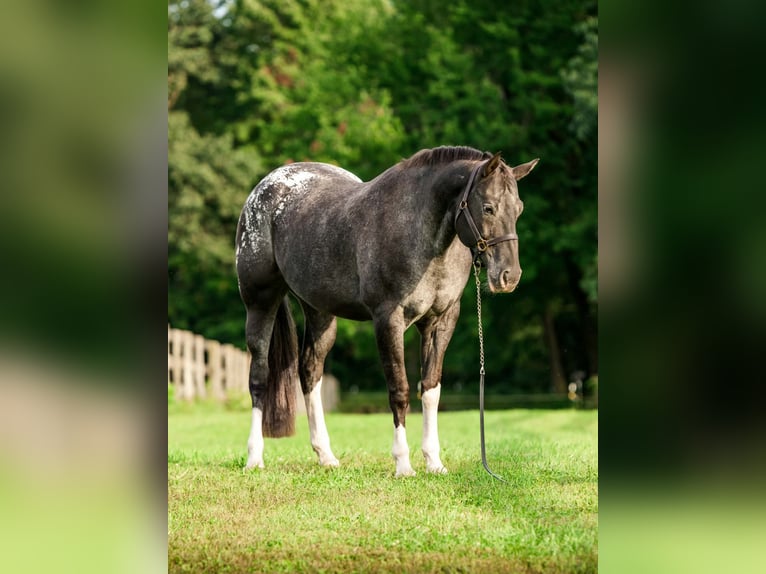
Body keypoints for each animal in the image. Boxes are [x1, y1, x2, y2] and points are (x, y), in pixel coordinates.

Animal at [235, 146, 538, 476]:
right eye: (488, 208)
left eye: (519, 209)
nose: (509, 276)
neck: (420, 232)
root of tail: (267, 185)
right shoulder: (388, 320)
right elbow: (400, 390)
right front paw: (403, 464)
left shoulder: (441, 321)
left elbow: (430, 389)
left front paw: (434, 461)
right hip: (260, 301)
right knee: (259, 377)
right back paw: (254, 457)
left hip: (320, 313)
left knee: (310, 372)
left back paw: (326, 455)